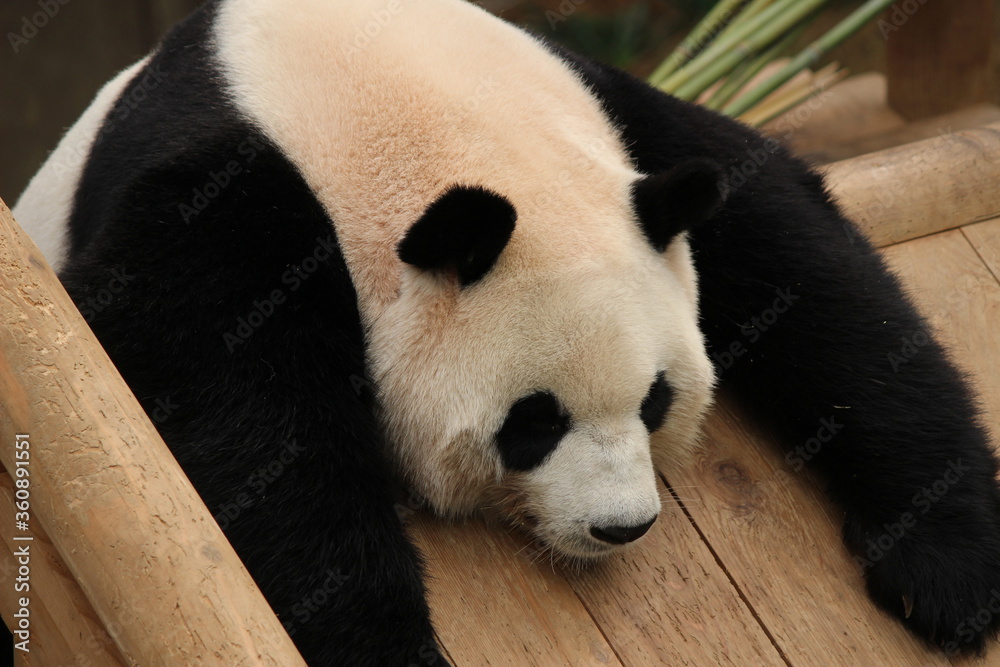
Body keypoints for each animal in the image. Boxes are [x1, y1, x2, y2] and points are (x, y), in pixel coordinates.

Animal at [13, 0, 1000, 664]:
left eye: (656, 401)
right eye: (535, 420)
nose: (622, 527)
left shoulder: (616, 119)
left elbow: (814, 274)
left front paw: (949, 568)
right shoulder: (229, 197)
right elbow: (229, 404)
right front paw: (384, 642)